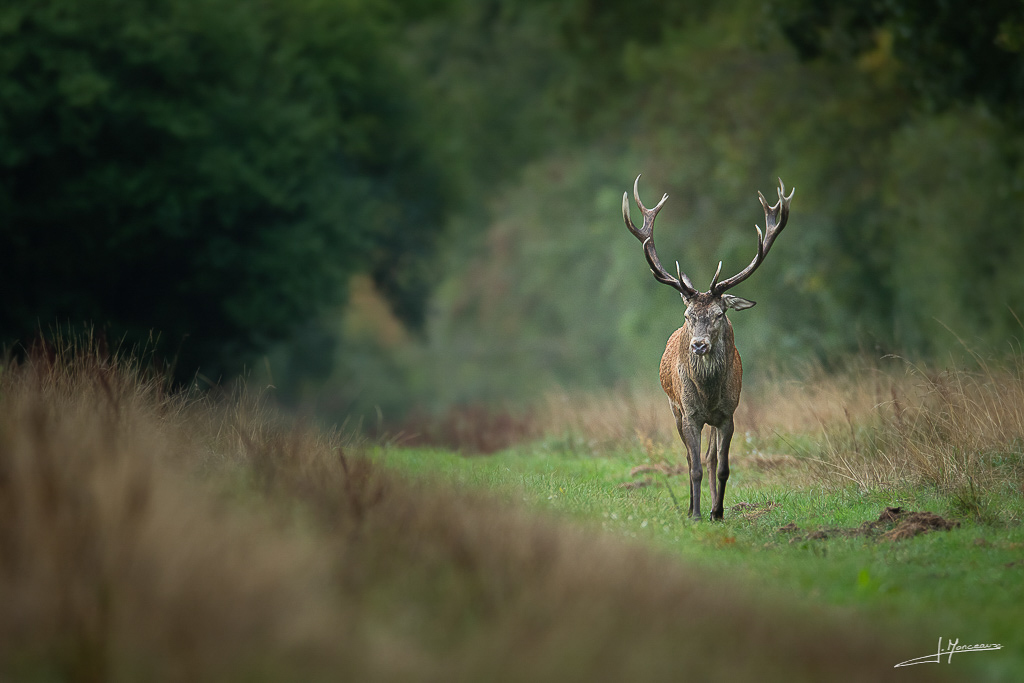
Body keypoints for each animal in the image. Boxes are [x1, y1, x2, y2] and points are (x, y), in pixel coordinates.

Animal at [623, 175, 794, 521]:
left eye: (718, 314)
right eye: (688, 315)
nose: (698, 344)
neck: (709, 393)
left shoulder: (728, 414)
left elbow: (723, 467)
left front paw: (718, 511)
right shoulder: (689, 413)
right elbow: (695, 466)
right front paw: (696, 514)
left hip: (712, 420)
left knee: (712, 458)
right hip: (674, 407)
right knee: (692, 458)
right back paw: (691, 506)